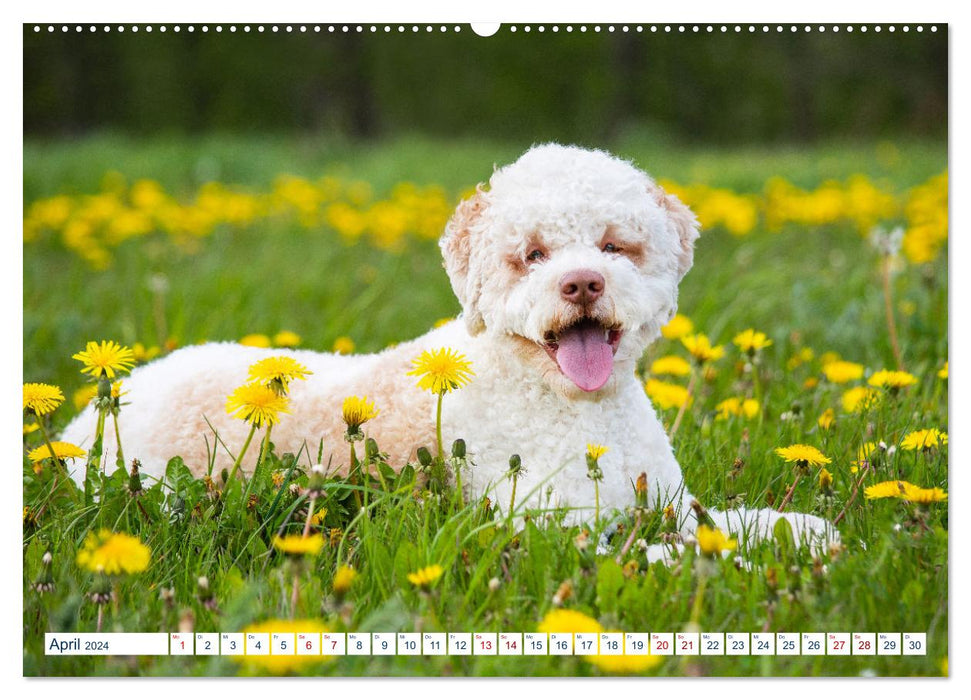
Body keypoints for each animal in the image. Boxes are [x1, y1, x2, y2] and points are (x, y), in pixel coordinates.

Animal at [60, 144, 836, 556]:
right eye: (532, 255)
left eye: (615, 245)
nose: (582, 282)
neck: (581, 410)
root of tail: (86, 417)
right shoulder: (554, 532)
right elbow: (670, 553)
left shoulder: (669, 501)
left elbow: (738, 523)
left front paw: (806, 532)